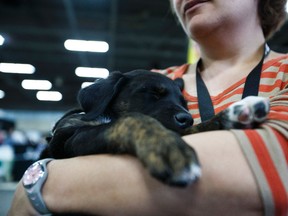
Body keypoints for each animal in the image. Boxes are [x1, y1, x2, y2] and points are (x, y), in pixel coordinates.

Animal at [41, 69, 270, 186]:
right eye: (153, 93)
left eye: (184, 103)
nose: (186, 118)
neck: (106, 115)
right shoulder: (71, 140)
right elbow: (133, 119)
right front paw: (167, 148)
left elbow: (195, 128)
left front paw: (235, 112)